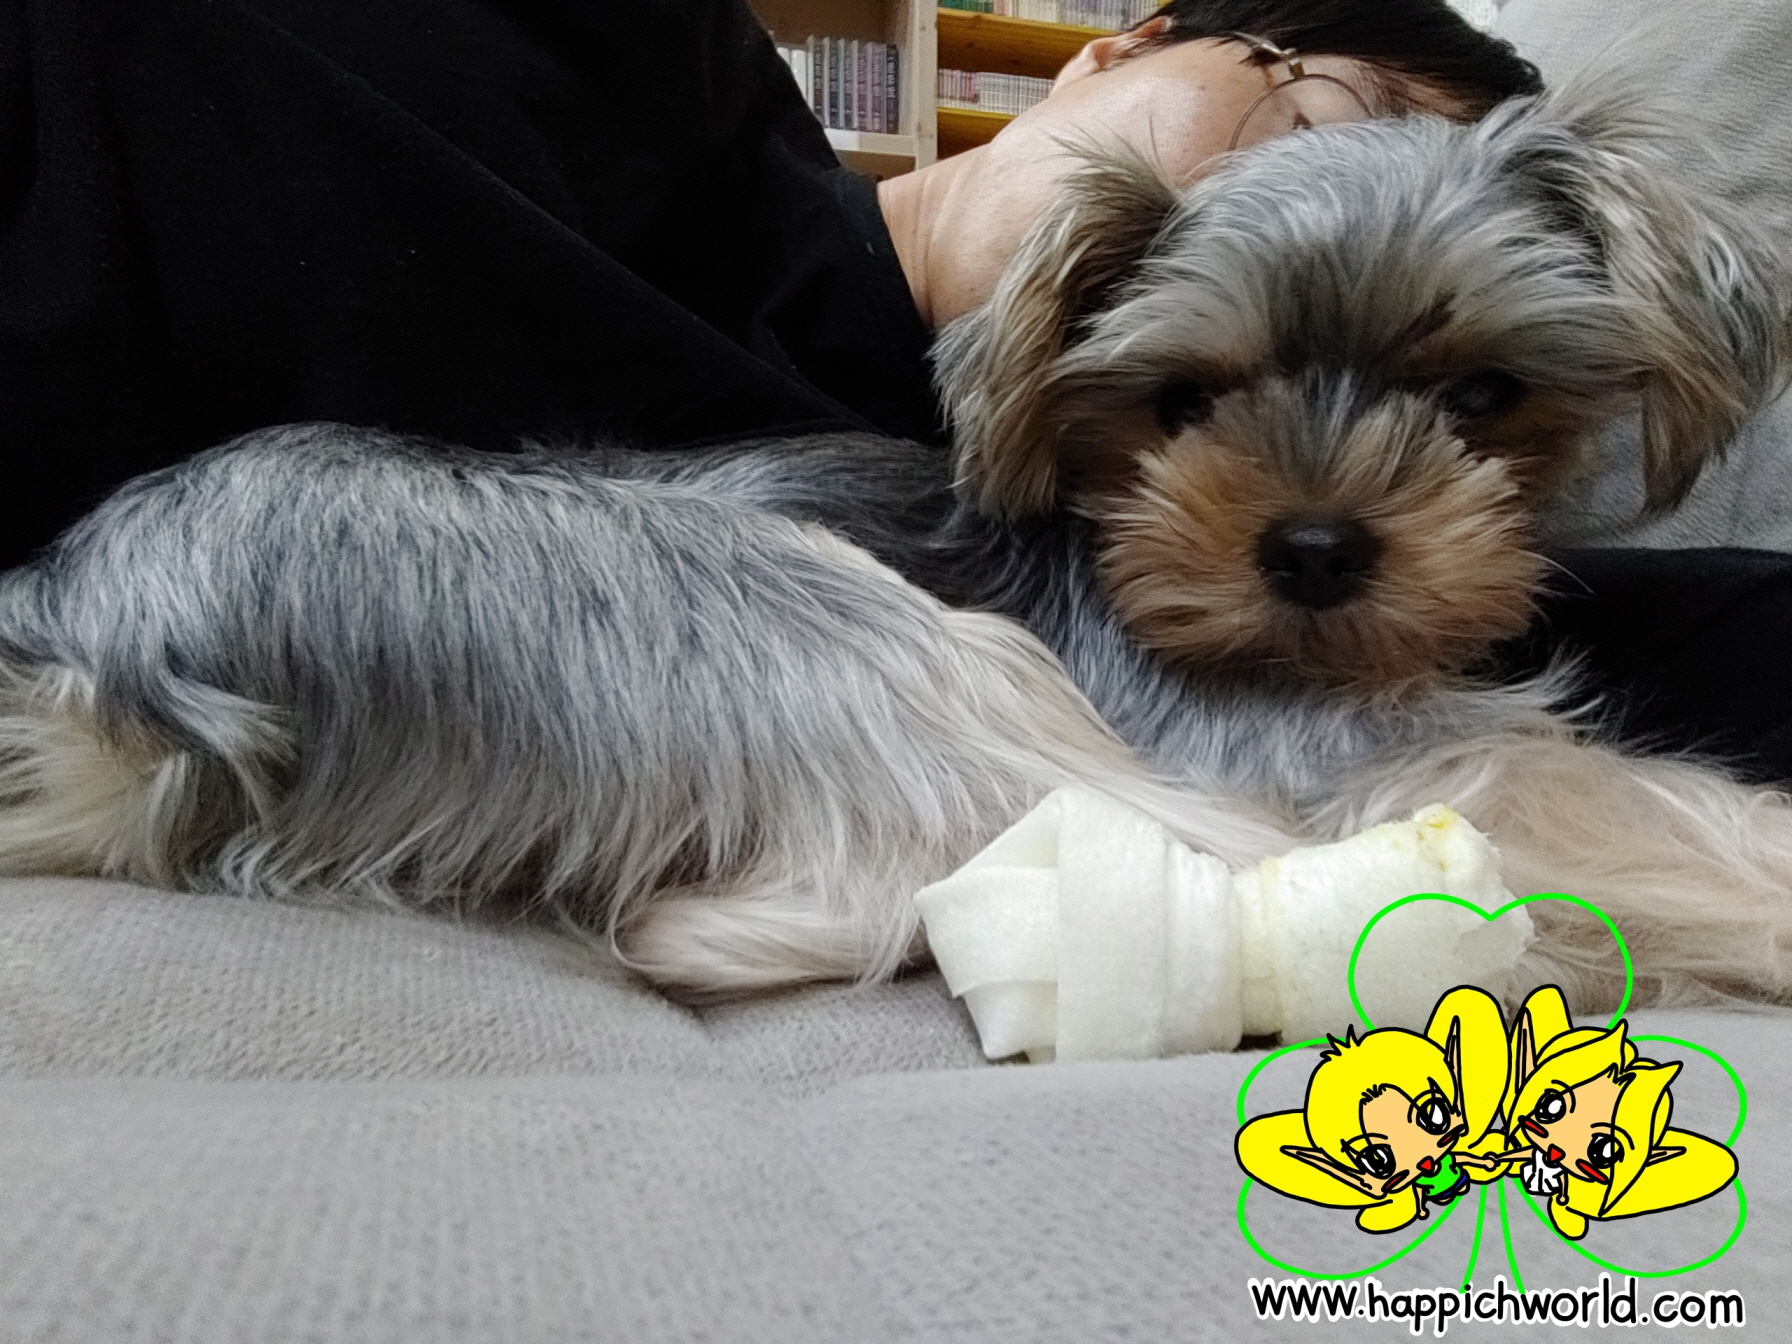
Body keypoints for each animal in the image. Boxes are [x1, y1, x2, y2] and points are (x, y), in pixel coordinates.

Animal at [2, 80, 1789, 1015]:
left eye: (1487, 396)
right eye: (1186, 398)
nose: (1318, 552)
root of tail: (99, 632)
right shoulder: (1302, 745)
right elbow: (1580, 786)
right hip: (803, 616)